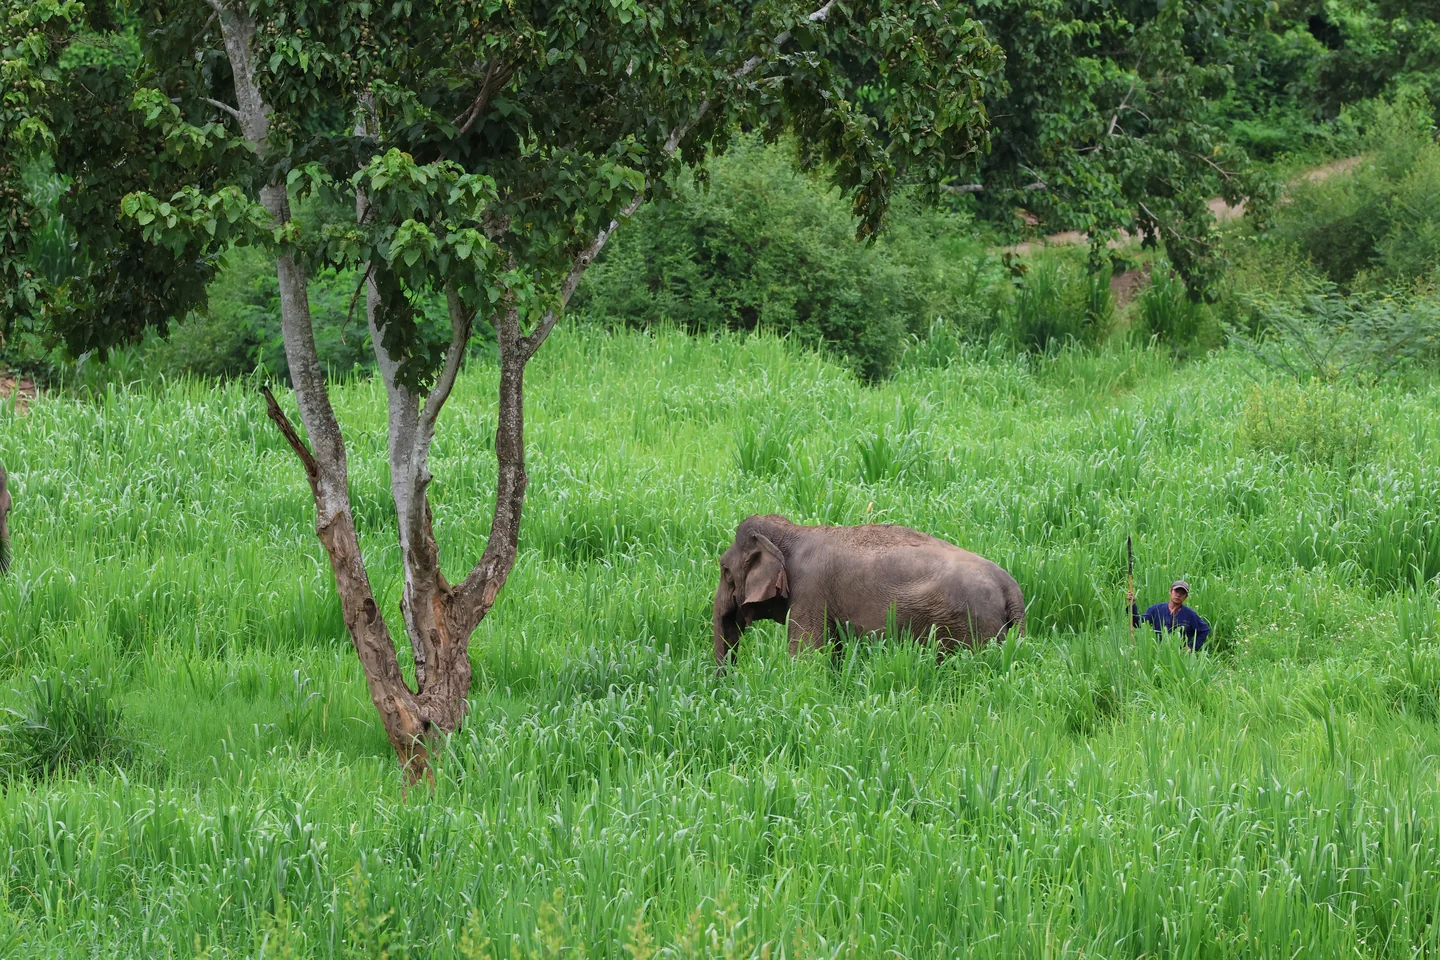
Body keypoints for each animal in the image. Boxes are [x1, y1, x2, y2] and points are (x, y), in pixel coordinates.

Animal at [712, 514, 1025, 670]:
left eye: (725, 570)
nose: (727, 685)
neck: (793, 531)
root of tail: (1011, 587)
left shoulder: (810, 592)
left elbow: (805, 654)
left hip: (971, 626)